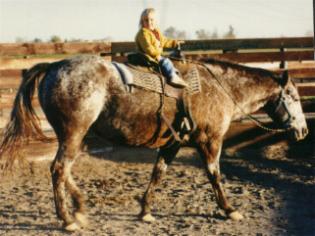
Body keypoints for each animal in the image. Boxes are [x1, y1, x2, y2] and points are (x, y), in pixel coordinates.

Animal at [0, 54, 308, 230]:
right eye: (293, 97)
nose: (303, 130)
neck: (221, 87)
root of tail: (54, 65)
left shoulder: (172, 144)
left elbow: (158, 173)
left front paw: (146, 211)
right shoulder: (210, 141)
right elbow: (215, 175)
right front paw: (230, 210)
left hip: (74, 136)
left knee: (64, 171)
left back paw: (80, 208)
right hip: (74, 133)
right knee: (59, 169)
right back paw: (67, 220)